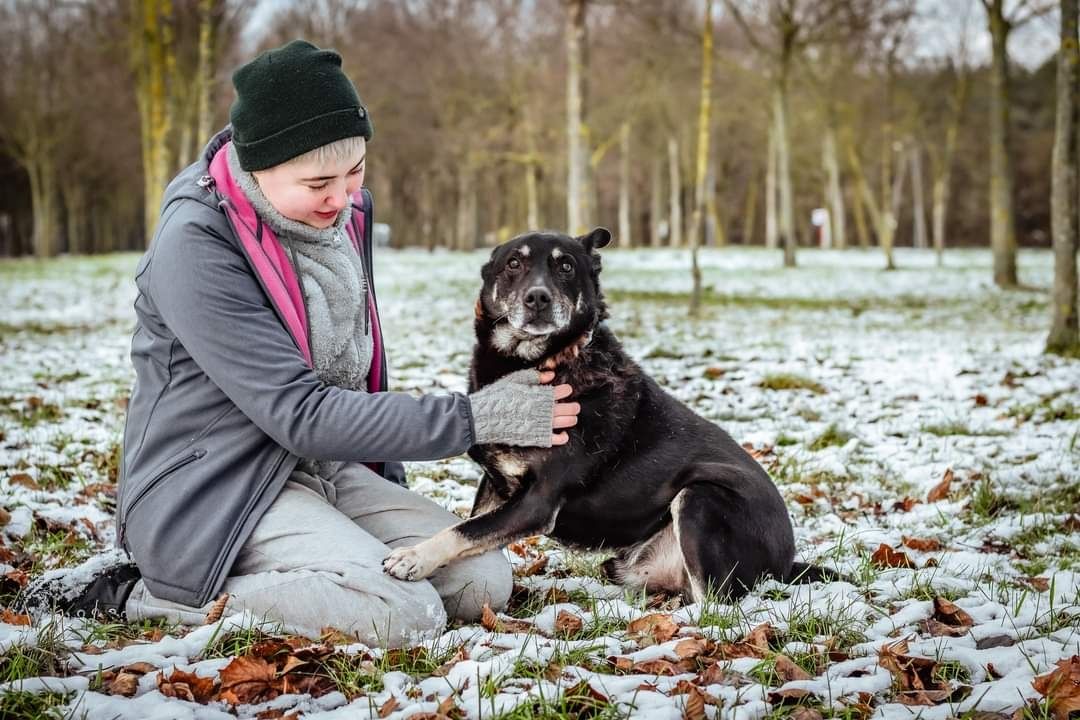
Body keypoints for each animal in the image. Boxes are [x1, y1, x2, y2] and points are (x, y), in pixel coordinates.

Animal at [382, 227, 825, 600]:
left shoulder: (536, 502)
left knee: (715, 604)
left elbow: (463, 530)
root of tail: (787, 561)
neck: (546, 362)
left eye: (565, 266)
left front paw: (413, 557)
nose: (538, 298)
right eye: (513, 264)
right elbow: (472, 528)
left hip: (701, 499)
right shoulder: (496, 484)